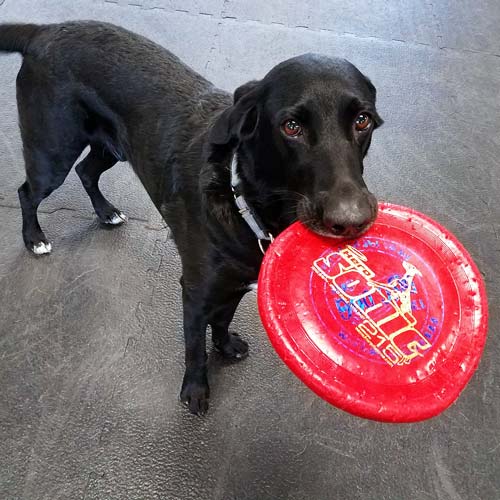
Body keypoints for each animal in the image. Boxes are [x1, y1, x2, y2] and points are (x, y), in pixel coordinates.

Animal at [0, 20, 382, 414]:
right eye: (291, 126)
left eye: (363, 120)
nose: (352, 219)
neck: (242, 200)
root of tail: (46, 30)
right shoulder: (196, 292)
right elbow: (195, 346)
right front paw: (195, 391)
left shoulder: (235, 283)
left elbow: (223, 319)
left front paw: (225, 346)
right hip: (52, 152)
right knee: (28, 192)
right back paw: (35, 238)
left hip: (112, 147)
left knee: (86, 171)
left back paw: (106, 212)